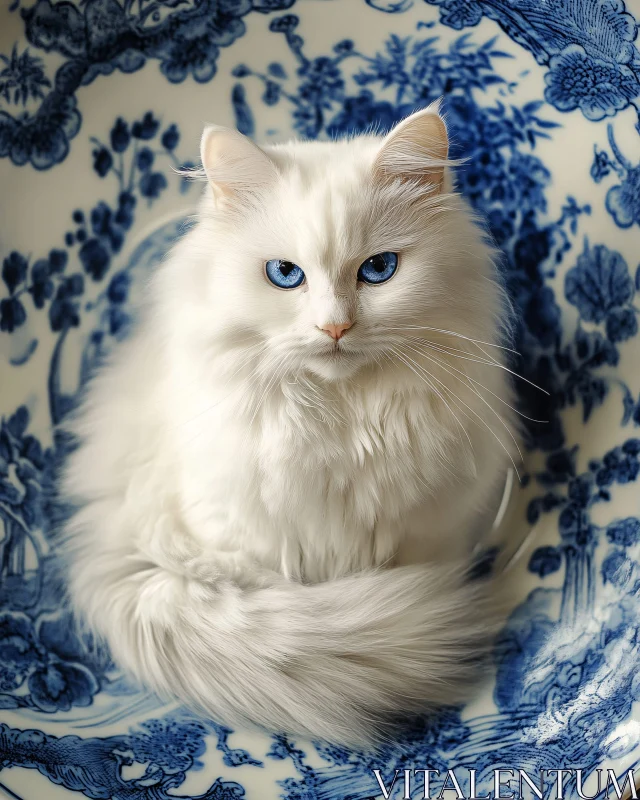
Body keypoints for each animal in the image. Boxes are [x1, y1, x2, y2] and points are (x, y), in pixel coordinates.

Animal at [60, 103, 516, 748]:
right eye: (284, 274)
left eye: (379, 269)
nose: (335, 328)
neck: (339, 421)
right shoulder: (235, 535)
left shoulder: (430, 534)